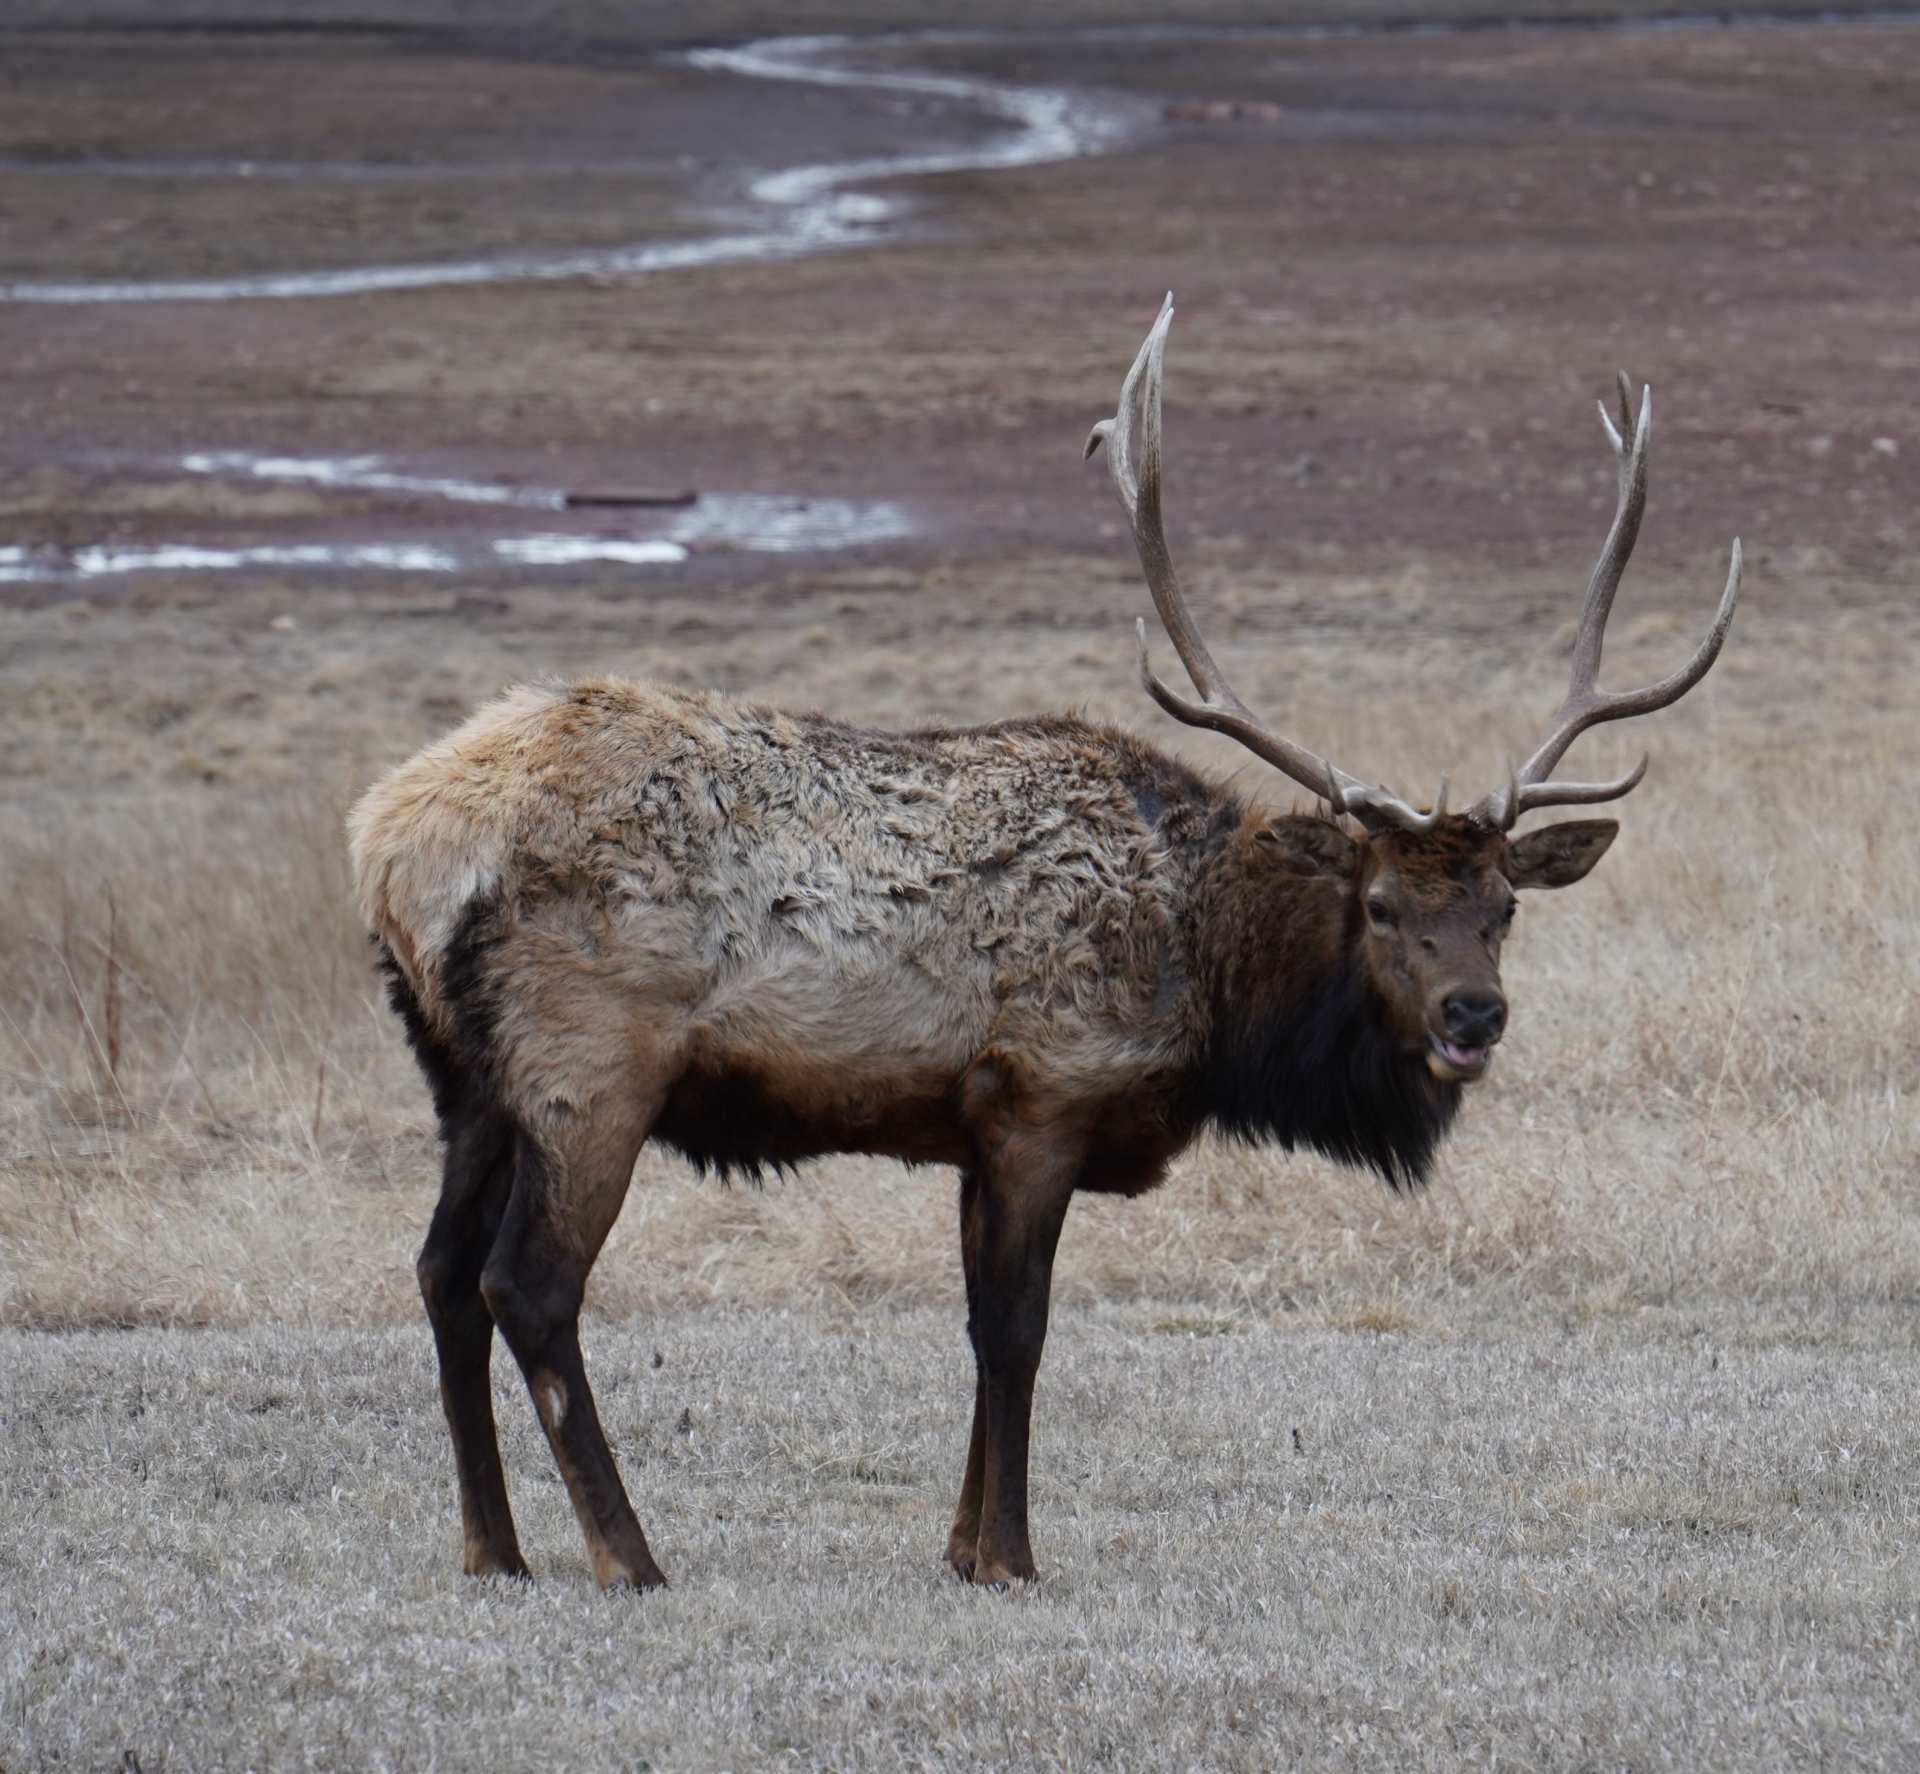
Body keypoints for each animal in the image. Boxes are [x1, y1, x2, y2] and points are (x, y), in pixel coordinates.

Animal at [349, 294, 1741, 1593]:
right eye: (1383, 905)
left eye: (1504, 906)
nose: (1473, 1017)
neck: (1213, 988)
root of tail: (391, 839)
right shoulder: (1046, 1096)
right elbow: (1019, 1330)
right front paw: (1012, 1556)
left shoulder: (973, 1126)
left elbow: (976, 1329)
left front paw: (961, 1546)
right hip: (589, 1065)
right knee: (528, 1286)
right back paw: (627, 1555)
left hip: (466, 1079)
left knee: (437, 1272)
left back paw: (495, 1550)